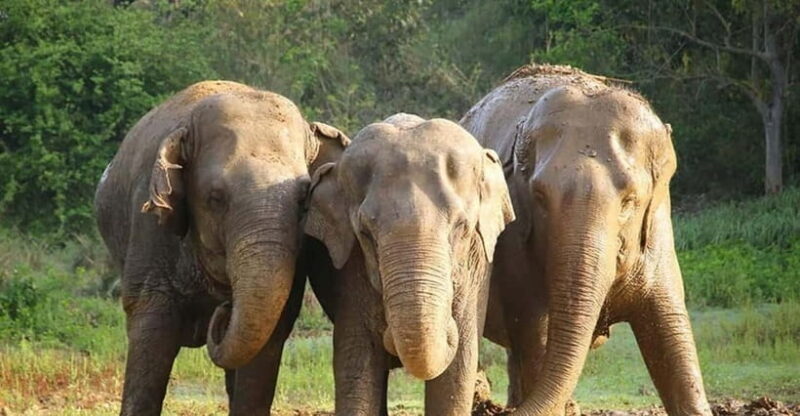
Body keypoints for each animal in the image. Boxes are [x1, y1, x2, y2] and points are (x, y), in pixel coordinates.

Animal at [303, 113, 515, 415]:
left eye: (462, 227)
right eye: (365, 233)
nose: (389, 333)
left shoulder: (476, 266)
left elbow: (456, 372)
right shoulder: (351, 270)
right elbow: (356, 361)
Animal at [460, 64, 711, 416]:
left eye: (630, 201)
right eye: (539, 197)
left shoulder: (658, 237)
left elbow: (672, 335)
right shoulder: (517, 250)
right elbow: (537, 337)